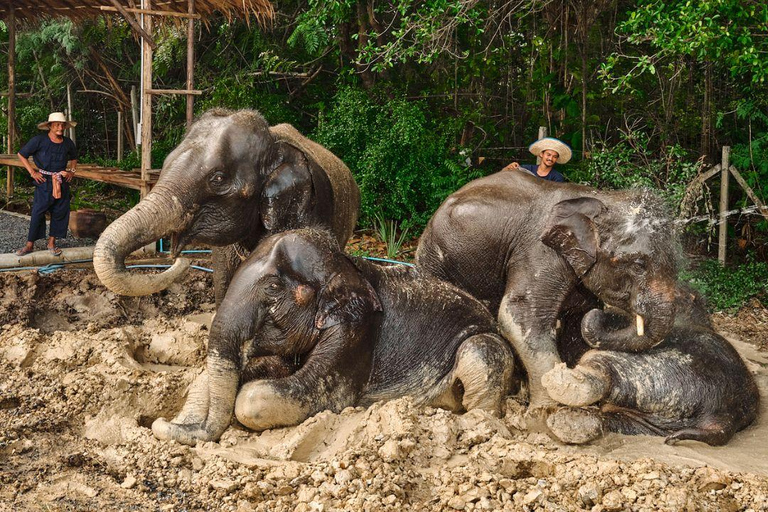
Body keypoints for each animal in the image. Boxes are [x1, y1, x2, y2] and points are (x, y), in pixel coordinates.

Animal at [150, 228, 516, 444]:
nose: (160, 423)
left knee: (481, 353)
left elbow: (263, 398)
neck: (346, 263)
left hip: (484, 344)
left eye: (272, 287)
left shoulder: (356, 330)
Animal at [416, 170, 680, 422]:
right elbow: (518, 317)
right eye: (639, 265)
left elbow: (576, 325)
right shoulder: (539, 253)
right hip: (433, 258)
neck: (602, 198)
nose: (601, 312)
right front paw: (546, 413)